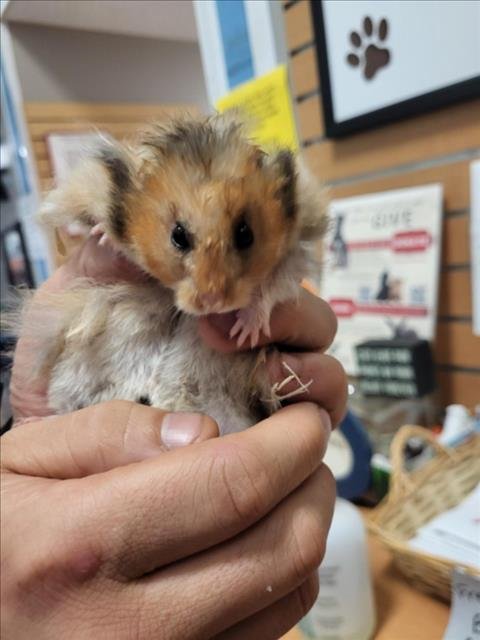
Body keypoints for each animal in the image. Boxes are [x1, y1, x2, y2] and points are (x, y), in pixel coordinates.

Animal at [22, 114, 328, 434]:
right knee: (67, 408)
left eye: (245, 234)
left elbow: (273, 286)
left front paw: (244, 330)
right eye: (178, 235)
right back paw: (35, 422)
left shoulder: (297, 248)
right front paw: (102, 235)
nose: (214, 302)